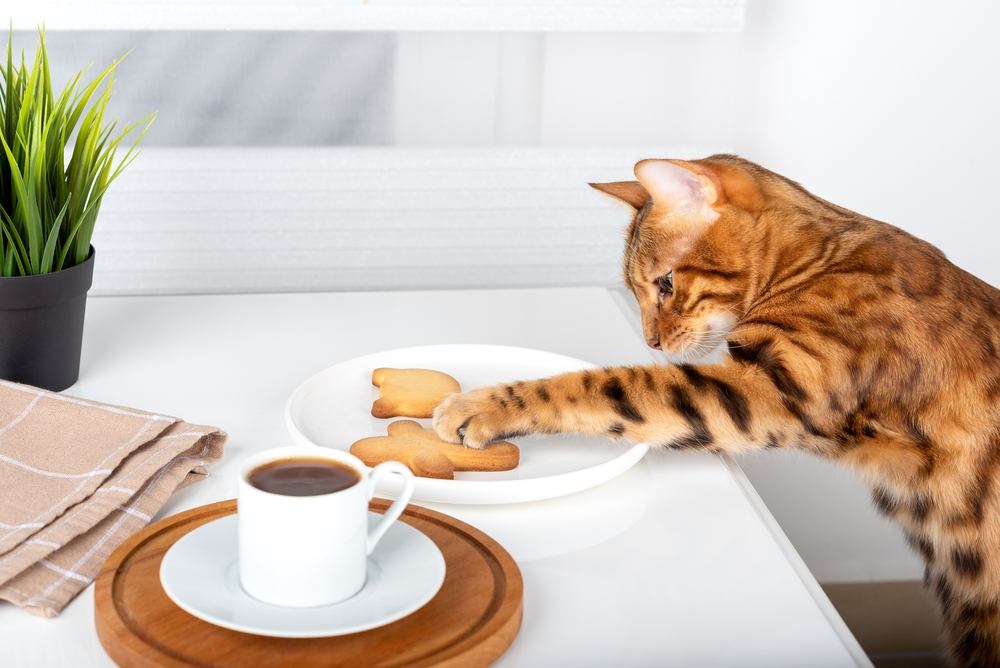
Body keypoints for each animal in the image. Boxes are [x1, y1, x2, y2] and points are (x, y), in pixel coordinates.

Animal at [434, 155, 1000, 664]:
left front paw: (483, 405)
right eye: (636, 290)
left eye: (665, 283)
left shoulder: (762, 392)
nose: (651, 341)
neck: (817, 262)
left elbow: (604, 385)